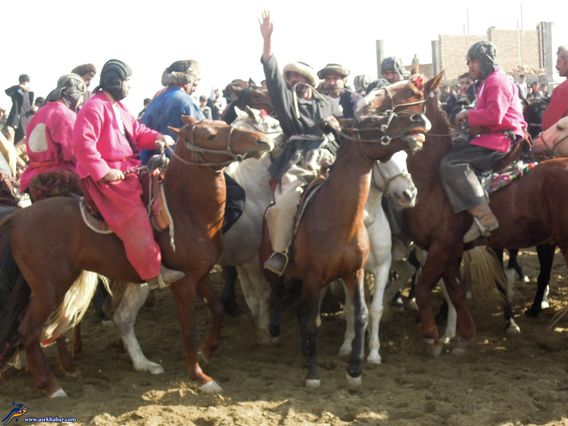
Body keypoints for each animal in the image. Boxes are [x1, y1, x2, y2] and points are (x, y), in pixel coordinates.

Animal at [0, 116, 272, 396]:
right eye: (209, 136)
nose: (262, 140)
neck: (186, 210)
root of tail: (18, 217)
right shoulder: (183, 283)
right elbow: (189, 331)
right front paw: (200, 377)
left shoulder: (201, 275)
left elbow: (217, 309)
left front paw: (207, 350)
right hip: (49, 288)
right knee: (30, 330)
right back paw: (51, 386)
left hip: (60, 283)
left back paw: (117, 365)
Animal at [260, 75, 430, 386]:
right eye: (372, 120)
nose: (418, 118)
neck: (339, 221)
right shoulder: (314, 278)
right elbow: (314, 322)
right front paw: (313, 373)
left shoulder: (355, 272)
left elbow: (361, 313)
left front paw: (355, 368)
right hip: (276, 268)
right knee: (277, 293)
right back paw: (276, 329)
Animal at [406, 74, 568, 356]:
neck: (433, 180)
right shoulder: (451, 249)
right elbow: (455, 290)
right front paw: (459, 335)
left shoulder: (442, 247)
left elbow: (426, 287)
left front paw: (433, 337)